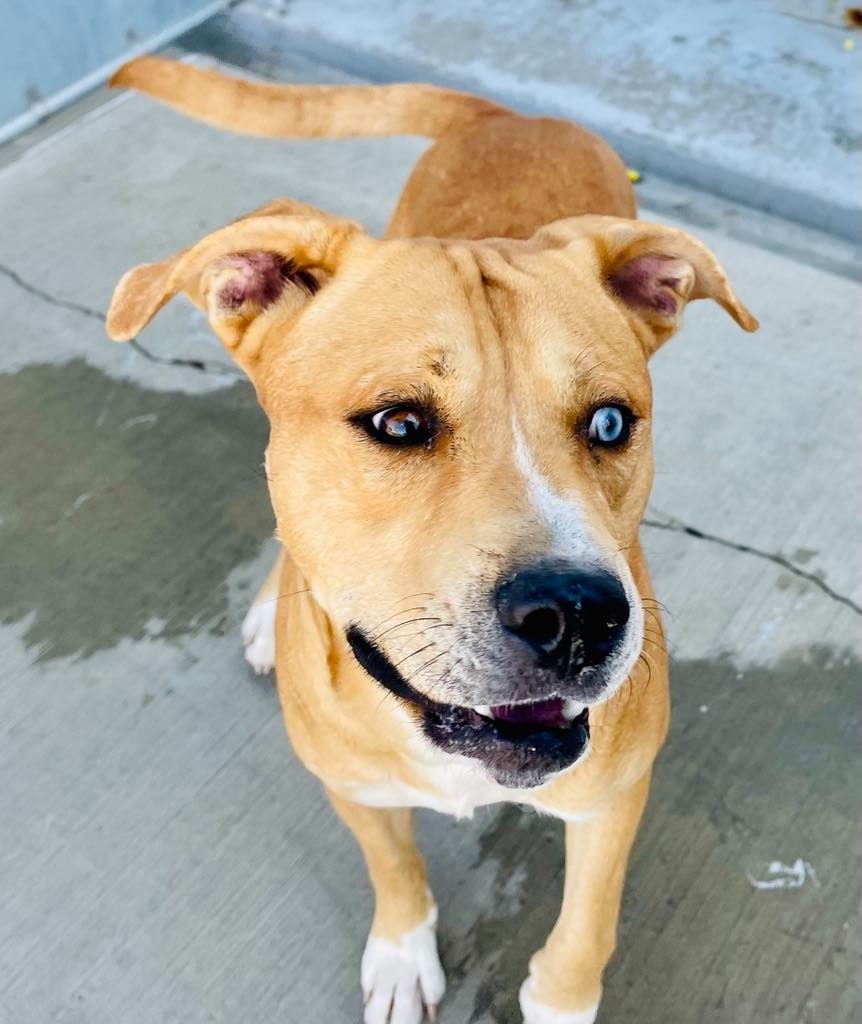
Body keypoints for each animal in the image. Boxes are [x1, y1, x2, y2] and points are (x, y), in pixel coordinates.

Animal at [103, 59, 757, 1024]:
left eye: (610, 422)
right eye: (399, 423)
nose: (577, 615)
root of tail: (511, 113)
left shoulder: (614, 798)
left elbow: (584, 931)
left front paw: (561, 1001)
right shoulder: (352, 785)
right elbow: (393, 864)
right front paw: (404, 951)